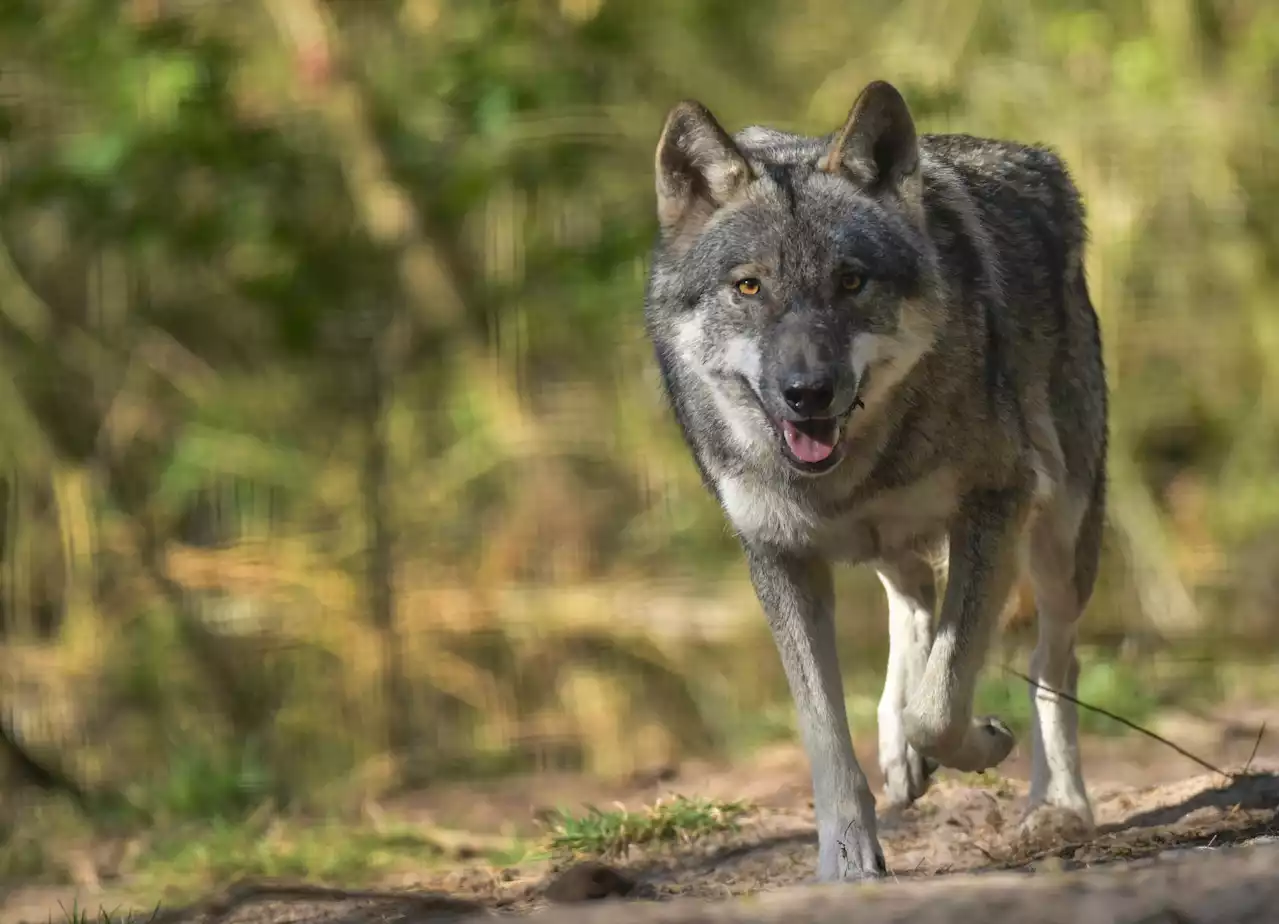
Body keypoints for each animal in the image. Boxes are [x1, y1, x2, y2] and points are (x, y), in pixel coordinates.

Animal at [645, 79, 1105, 880]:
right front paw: (849, 859)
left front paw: (980, 744)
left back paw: (1059, 807)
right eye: (749, 286)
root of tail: (1039, 162)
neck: (849, 471)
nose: (807, 393)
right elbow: (826, 730)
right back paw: (900, 753)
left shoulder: (995, 506)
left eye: (850, 281)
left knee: (1053, 660)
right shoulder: (778, 556)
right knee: (914, 597)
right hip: (896, 540)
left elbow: (942, 701)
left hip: (1059, 535)